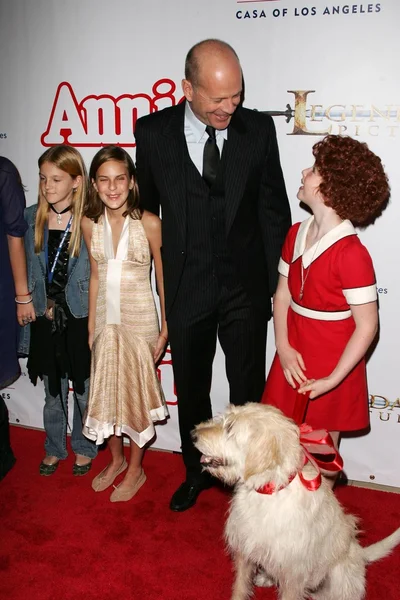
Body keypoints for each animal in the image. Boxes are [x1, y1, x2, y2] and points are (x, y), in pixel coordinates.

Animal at [192, 404, 398, 600]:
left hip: (338, 575)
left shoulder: (294, 574)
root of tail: (361, 555)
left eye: (230, 428)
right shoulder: (245, 549)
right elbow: (241, 587)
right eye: (224, 419)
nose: (192, 434)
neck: (269, 491)